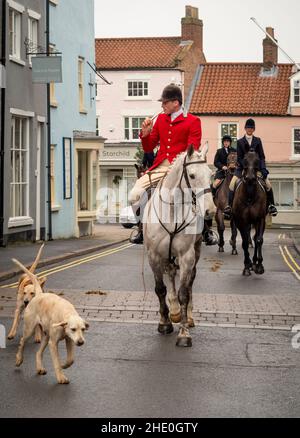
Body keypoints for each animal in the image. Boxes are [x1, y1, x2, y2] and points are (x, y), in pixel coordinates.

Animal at [143, 145, 216, 348]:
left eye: (211, 175)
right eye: (191, 175)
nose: (210, 211)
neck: (172, 212)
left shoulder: (186, 257)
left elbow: (184, 292)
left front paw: (183, 333)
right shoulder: (154, 256)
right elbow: (160, 289)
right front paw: (165, 323)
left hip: (195, 253)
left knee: (190, 282)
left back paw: (187, 316)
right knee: (170, 274)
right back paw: (174, 309)